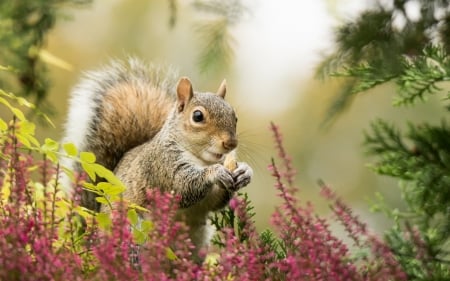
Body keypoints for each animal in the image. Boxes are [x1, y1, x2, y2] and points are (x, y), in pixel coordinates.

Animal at [61, 59, 253, 256]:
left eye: (235, 117)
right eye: (198, 116)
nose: (231, 143)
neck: (201, 159)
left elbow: (216, 201)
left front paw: (244, 171)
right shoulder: (161, 165)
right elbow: (182, 186)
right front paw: (215, 172)